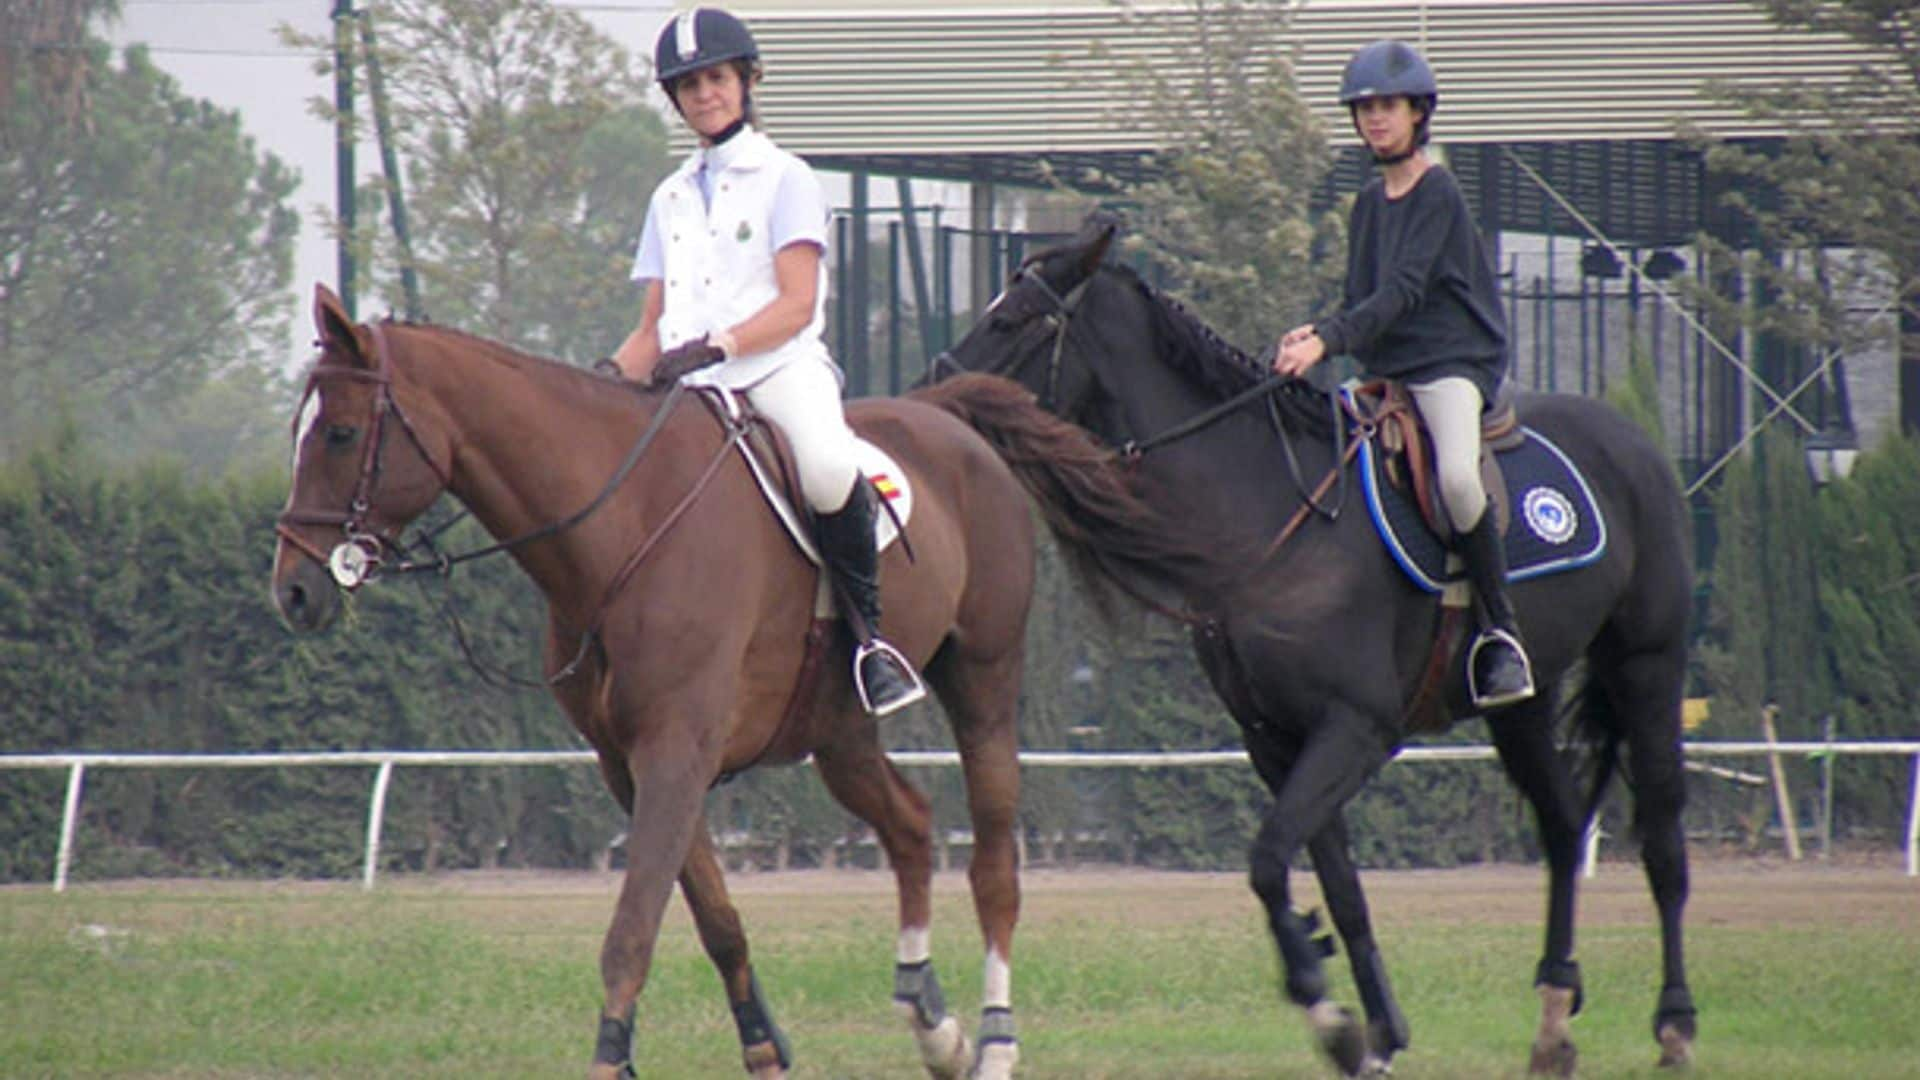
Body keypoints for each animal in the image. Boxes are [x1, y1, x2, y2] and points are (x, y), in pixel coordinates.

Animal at [270, 284, 1198, 1076]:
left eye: (341, 433)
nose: (294, 590)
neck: (621, 522)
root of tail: (946, 421)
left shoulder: (676, 752)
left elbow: (633, 928)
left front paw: (612, 1060)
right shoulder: (632, 764)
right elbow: (715, 918)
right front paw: (763, 1047)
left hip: (984, 684)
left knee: (995, 863)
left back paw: (996, 1043)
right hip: (838, 730)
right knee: (909, 823)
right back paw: (932, 1025)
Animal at [933, 214, 1697, 1068]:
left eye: (1011, 320)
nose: (933, 390)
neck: (1273, 515)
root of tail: (1634, 441)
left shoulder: (1354, 727)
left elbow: (1270, 862)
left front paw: (1330, 1012)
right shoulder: (1278, 739)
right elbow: (1338, 888)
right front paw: (1373, 1031)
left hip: (1647, 668)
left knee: (1663, 843)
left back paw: (1674, 1022)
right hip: (1520, 707)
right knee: (1564, 829)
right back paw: (1555, 1016)